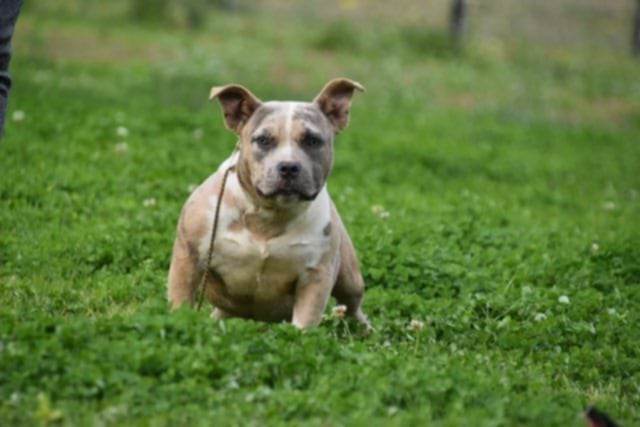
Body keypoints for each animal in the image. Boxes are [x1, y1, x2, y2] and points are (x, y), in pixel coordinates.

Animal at [167, 78, 369, 329]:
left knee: (354, 307)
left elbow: (304, 324)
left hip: (350, 281)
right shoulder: (189, 259)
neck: (268, 214)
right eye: (263, 140)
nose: (289, 166)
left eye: (312, 140)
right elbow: (181, 301)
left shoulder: (315, 277)